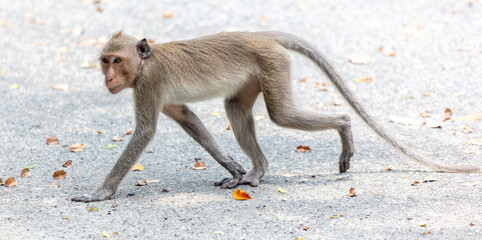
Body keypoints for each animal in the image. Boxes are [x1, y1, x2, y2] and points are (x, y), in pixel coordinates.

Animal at [70, 30, 478, 202]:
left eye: (116, 60)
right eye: (104, 61)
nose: (107, 78)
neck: (144, 62)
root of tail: (260, 35)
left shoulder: (149, 83)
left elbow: (144, 132)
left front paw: (101, 193)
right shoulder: (156, 92)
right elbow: (186, 117)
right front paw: (231, 166)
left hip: (273, 63)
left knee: (282, 115)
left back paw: (344, 127)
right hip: (258, 71)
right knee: (237, 109)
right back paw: (255, 171)